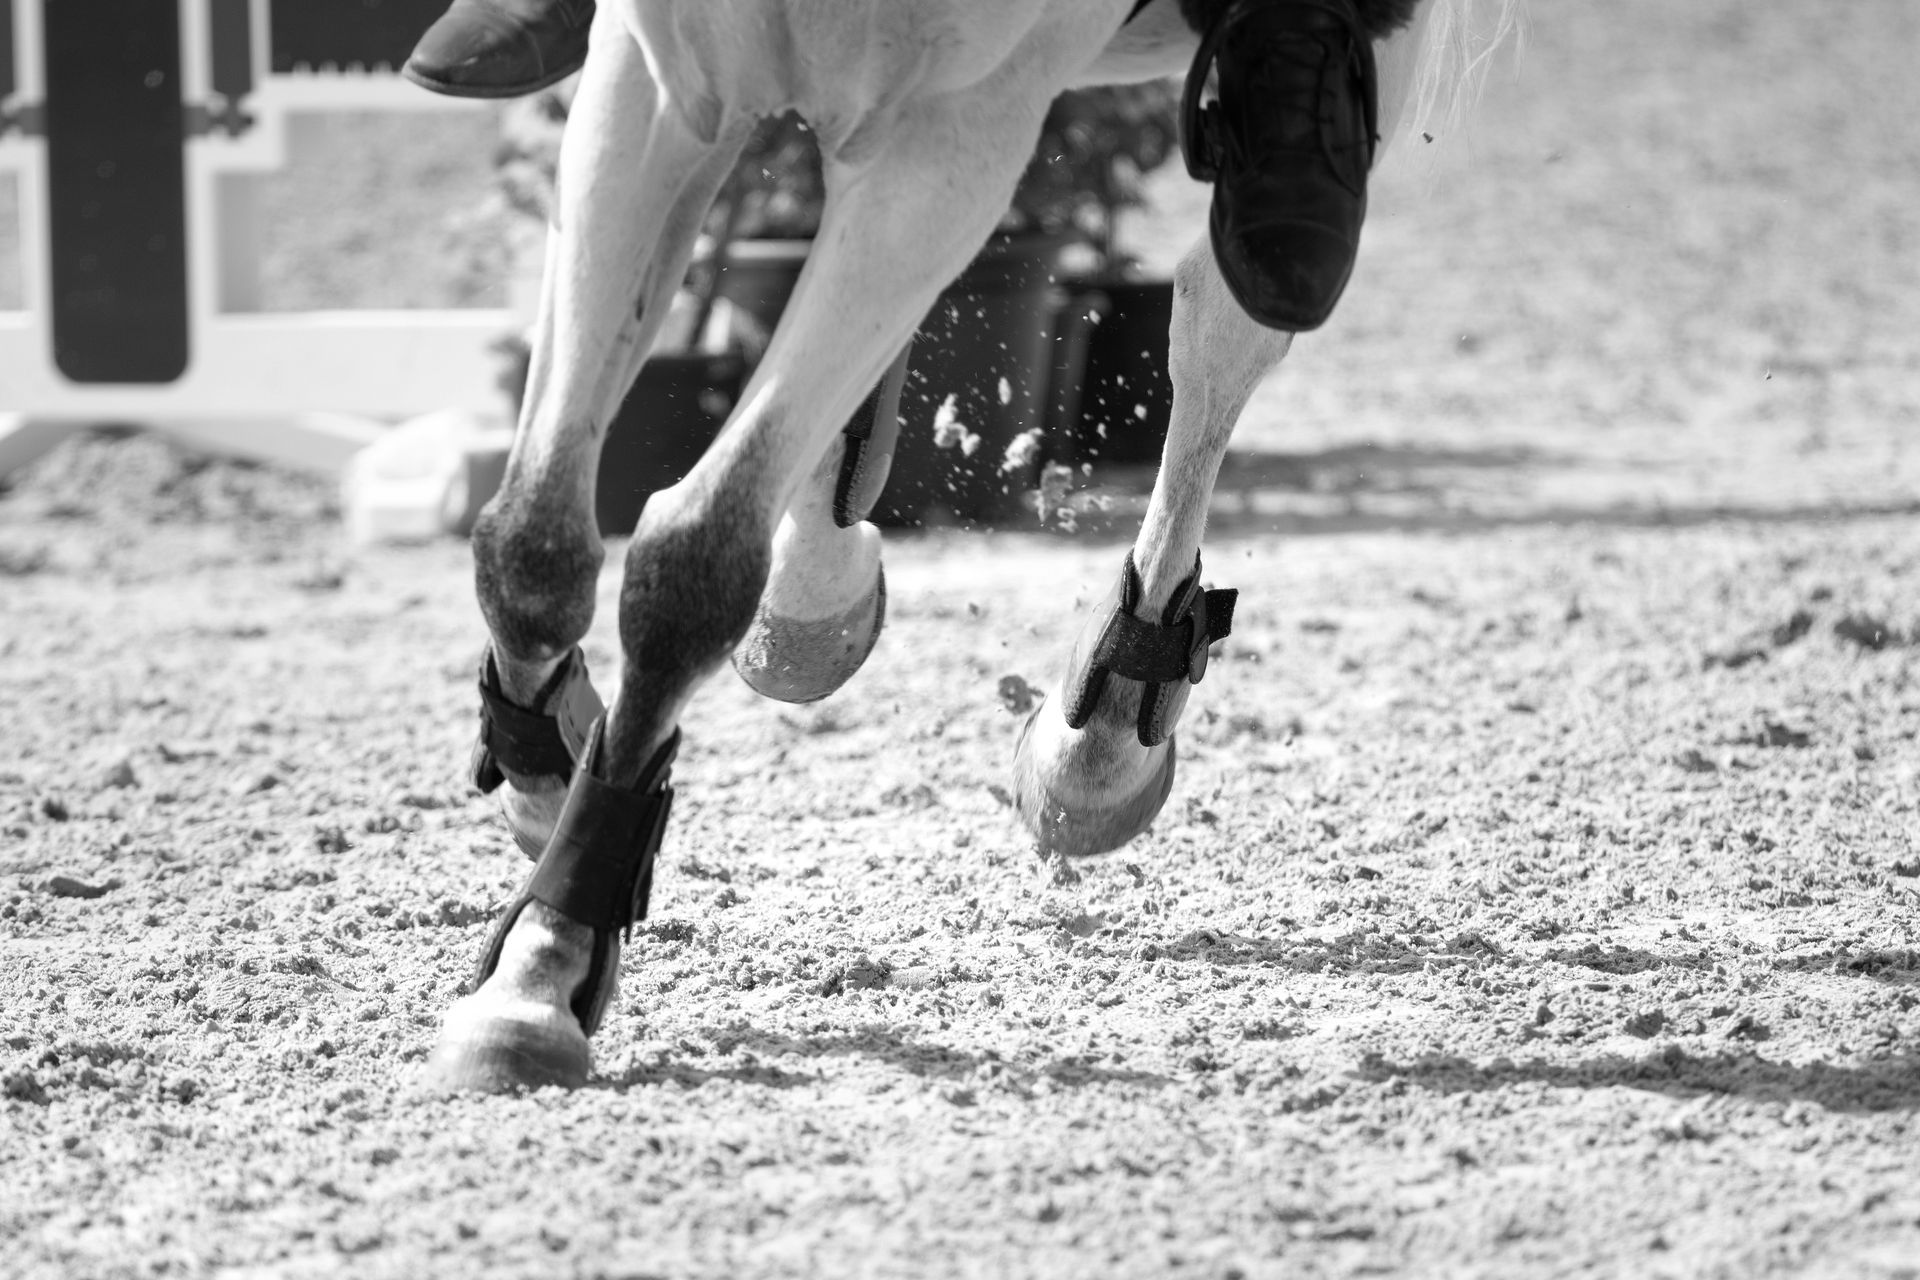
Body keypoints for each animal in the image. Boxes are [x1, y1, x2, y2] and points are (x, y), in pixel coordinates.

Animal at [425, 0, 1521, 1092]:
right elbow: (534, 542)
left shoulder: (952, 126)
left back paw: (1101, 735)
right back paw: (814, 586)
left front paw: (544, 966)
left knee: (1221, 324)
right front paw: (543, 786)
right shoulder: (656, 79)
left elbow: (691, 564)